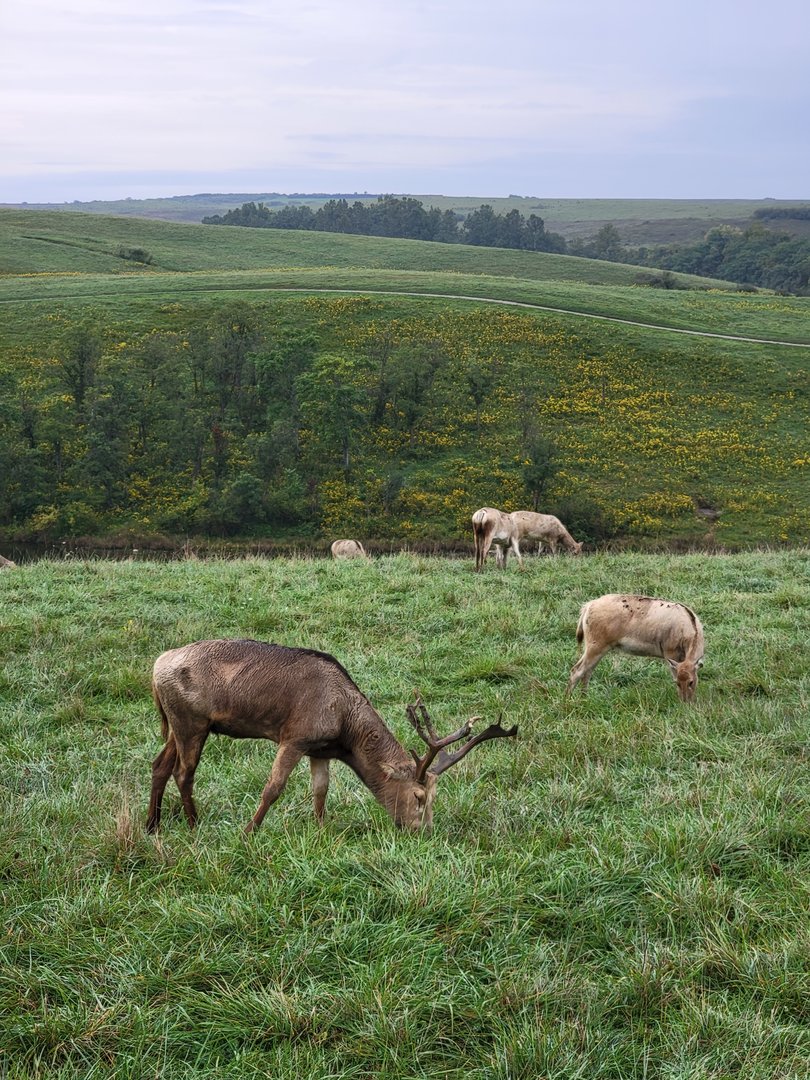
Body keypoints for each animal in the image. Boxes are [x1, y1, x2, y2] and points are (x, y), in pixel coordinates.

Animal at [146, 639, 517, 834]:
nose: (424, 832)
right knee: (184, 772)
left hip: (179, 725)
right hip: (191, 721)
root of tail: (156, 665)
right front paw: (249, 831)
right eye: (419, 797)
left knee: (159, 765)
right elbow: (273, 787)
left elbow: (321, 790)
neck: (344, 732)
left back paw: (153, 824)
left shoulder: (319, 749)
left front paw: (322, 829)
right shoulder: (295, 735)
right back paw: (193, 825)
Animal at [567, 594, 705, 702]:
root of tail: (588, 606)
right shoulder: (669, 652)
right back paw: (567, 700)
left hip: (596, 647)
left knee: (587, 671)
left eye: (691, 681)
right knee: (576, 670)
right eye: (677, 683)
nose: (686, 702)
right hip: (595, 645)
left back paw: (584, 698)